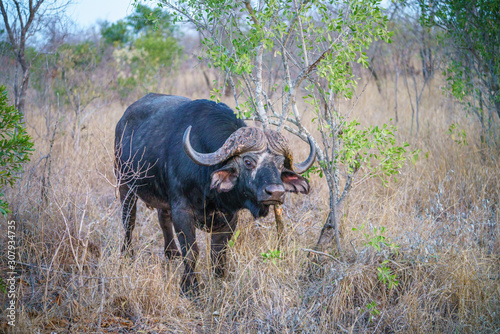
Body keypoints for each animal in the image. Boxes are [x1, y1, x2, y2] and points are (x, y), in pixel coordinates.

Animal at [115, 94, 314, 292]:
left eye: (280, 165)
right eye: (248, 162)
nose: (275, 192)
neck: (210, 192)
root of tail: (123, 120)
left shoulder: (230, 217)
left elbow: (218, 253)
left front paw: (219, 281)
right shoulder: (182, 211)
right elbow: (192, 251)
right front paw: (190, 287)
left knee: (162, 218)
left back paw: (171, 253)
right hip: (125, 185)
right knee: (129, 222)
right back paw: (127, 255)